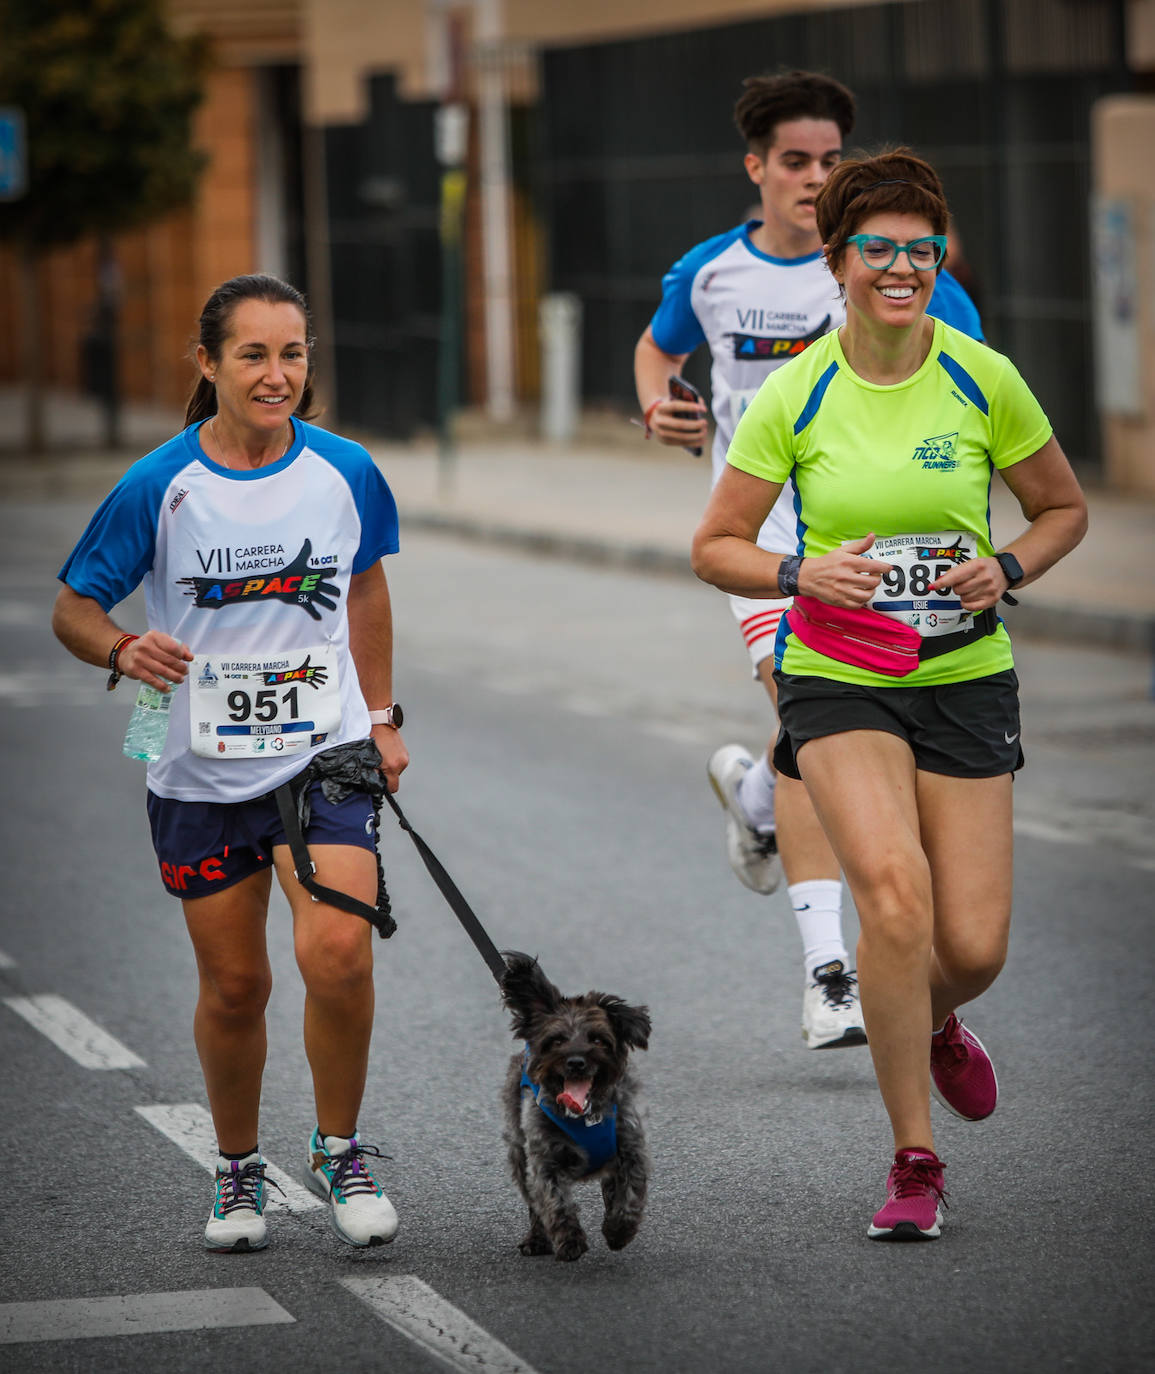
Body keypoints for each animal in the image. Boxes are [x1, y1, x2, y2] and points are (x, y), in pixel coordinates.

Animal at [499, 950, 653, 1258]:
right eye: (556, 1040)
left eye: (598, 1039)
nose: (576, 1061)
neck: (585, 1116)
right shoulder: (544, 1160)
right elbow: (554, 1201)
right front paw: (569, 1240)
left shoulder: (632, 1151)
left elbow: (630, 1196)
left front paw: (618, 1230)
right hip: (518, 1153)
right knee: (534, 1203)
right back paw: (537, 1239)